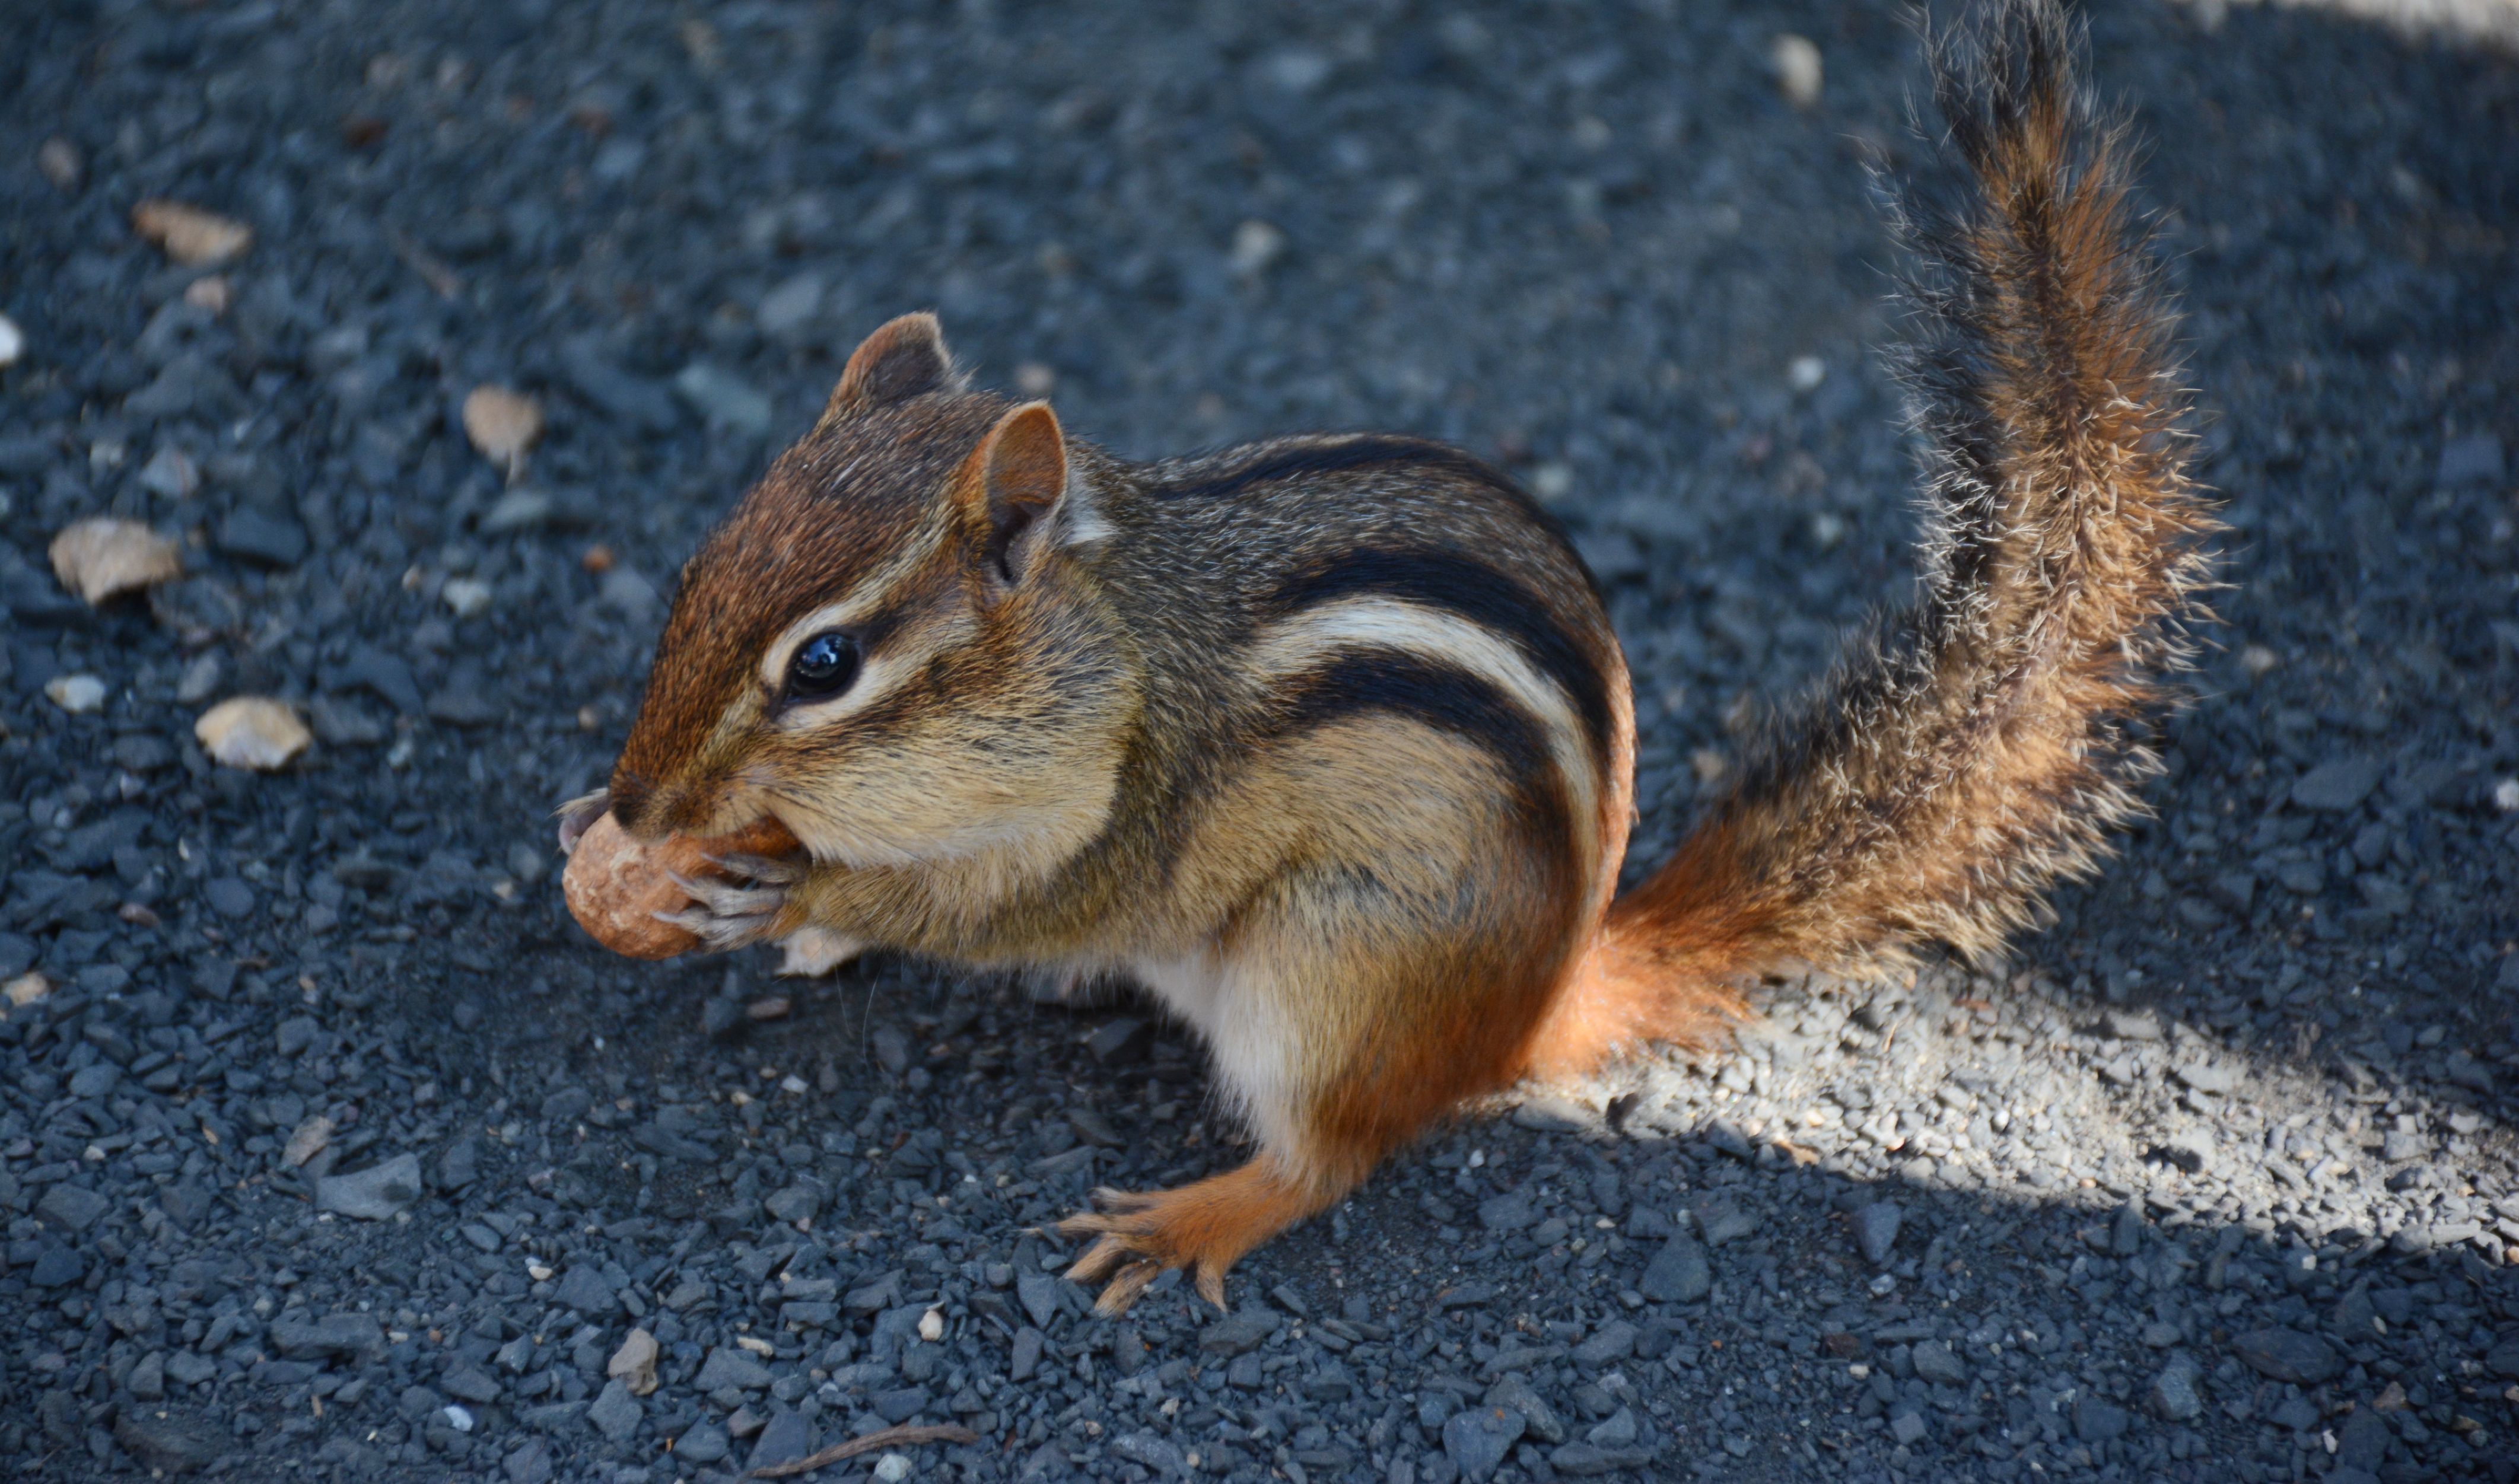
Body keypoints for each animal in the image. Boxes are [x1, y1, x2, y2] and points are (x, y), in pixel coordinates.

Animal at [571, 0, 2214, 1314]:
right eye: (697, 570)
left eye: (826, 665)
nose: (638, 805)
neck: (1109, 648)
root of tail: (1536, 1006)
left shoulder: (1129, 814)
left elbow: (1002, 906)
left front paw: (796, 889)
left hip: (1331, 973)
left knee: (1332, 1153)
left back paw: (1197, 1214)